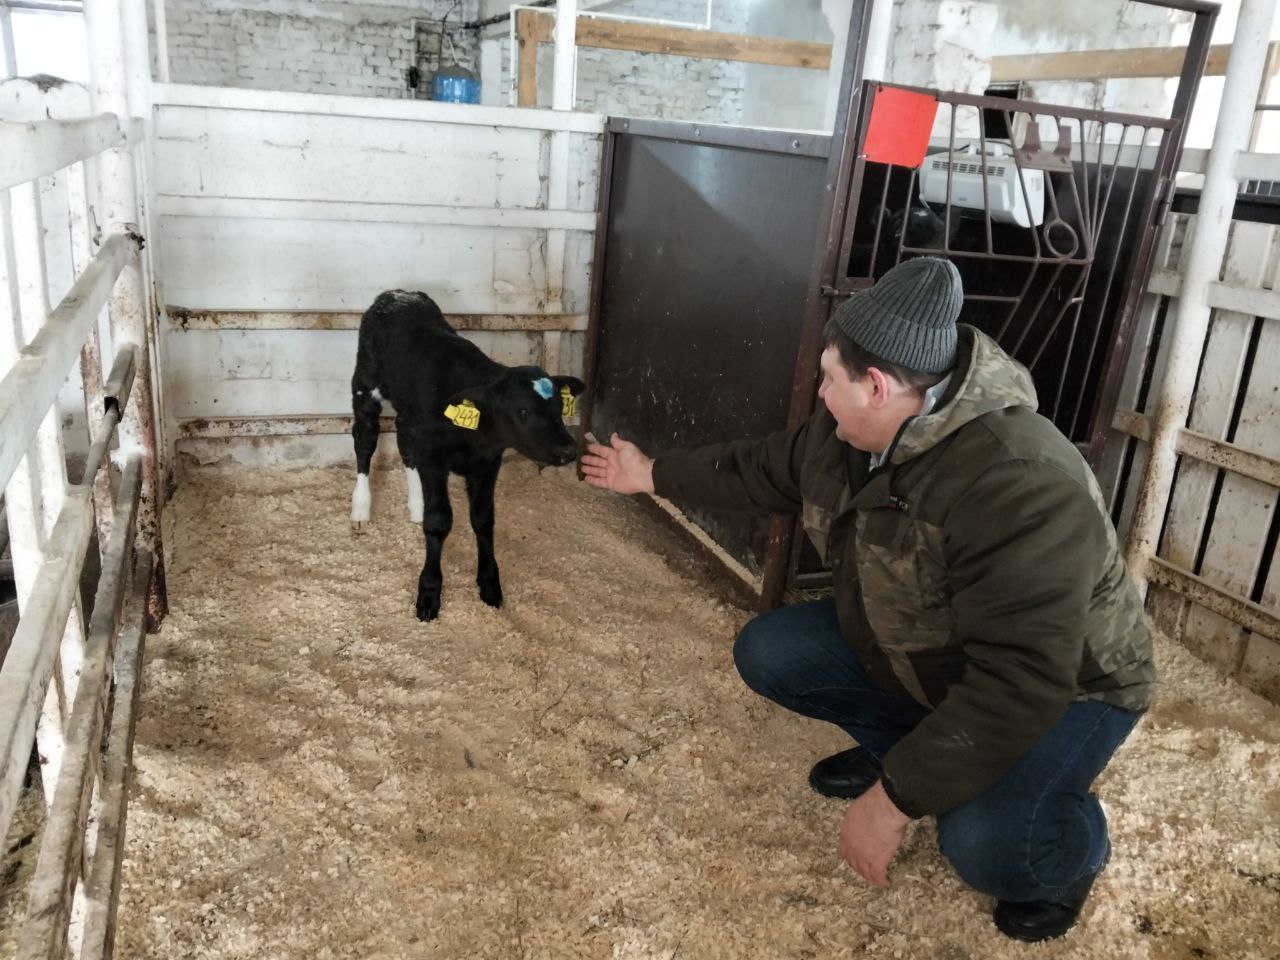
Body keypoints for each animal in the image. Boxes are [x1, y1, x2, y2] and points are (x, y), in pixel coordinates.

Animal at [350, 290, 584, 621]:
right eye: (523, 411)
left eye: (559, 409)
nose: (568, 450)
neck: (476, 437)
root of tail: (398, 294)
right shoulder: (434, 458)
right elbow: (439, 521)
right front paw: (429, 593)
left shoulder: (487, 465)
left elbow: (483, 519)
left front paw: (489, 584)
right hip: (365, 385)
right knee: (365, 439)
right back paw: (360, 510)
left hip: (409, 413)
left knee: (405, 440)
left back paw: (416, 505)